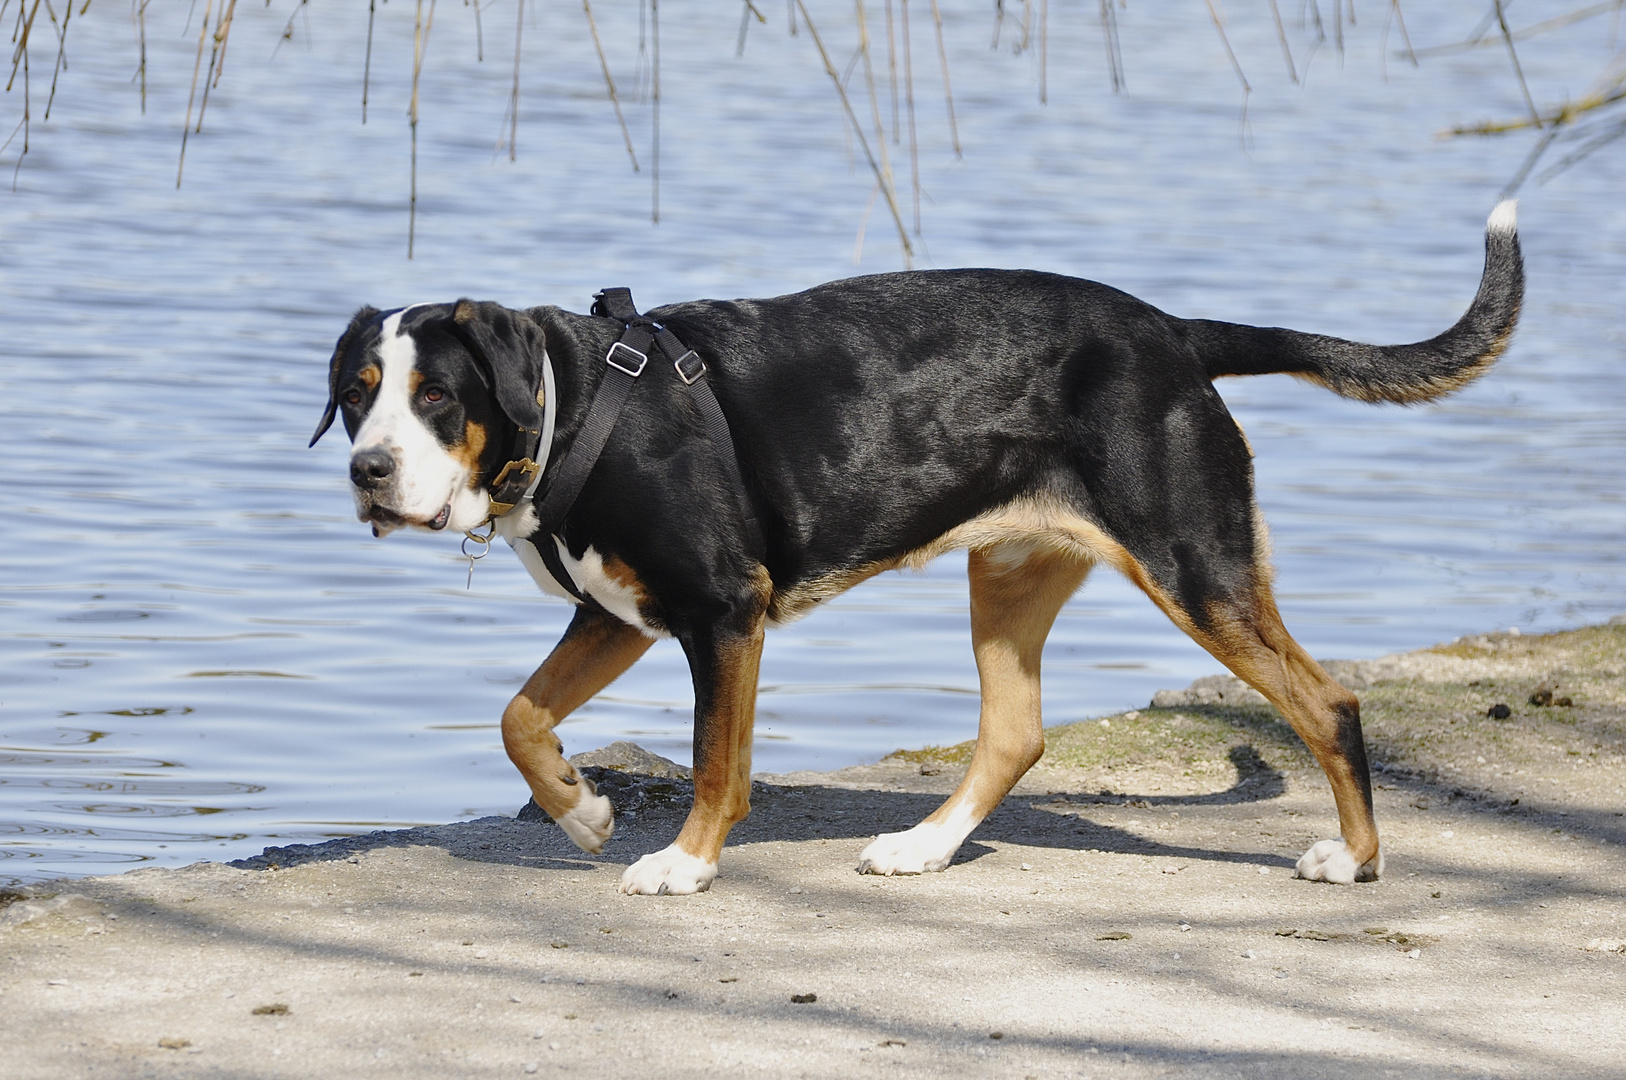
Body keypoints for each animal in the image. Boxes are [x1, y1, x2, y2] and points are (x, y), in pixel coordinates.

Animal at [310, 202, 1515, 891]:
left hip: (1197, 570)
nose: (368, 473)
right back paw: (922, 848)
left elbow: (714, 764)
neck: (579, 407)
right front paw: (584, 810)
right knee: (1015, 735)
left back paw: (1354, 860)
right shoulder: (619, 614)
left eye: (436, 396)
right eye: (357, 392)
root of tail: (1172, 332)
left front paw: (684, 865)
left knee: (1330, 705)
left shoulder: (721, 611)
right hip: (1012, 574)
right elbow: (519, 719)